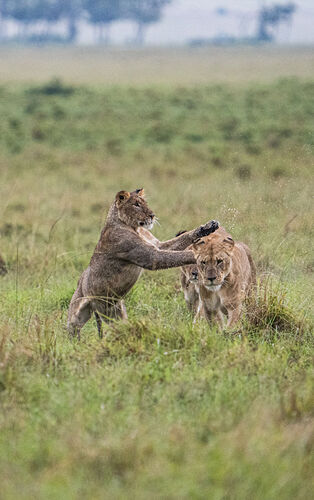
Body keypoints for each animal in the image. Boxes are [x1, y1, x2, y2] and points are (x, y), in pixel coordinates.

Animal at [67, 188, 218, 340]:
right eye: (136, 204)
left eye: (144, 203)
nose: (152, 215)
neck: (134, 228)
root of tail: (94, 306)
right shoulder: (150, 256)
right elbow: (176, 256)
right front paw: (204, 254)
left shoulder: (157, 244)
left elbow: (179, 240)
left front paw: (206, 228)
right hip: (76, 311)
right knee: (72, 329)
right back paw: (74, 345)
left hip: (116, 314)